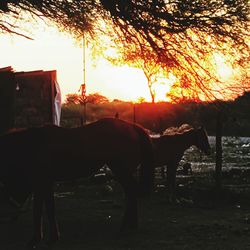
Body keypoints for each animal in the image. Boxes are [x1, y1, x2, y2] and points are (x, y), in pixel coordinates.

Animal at [0, 118, 154, 247]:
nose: (11, 216)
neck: (32, 145)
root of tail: (131, 127)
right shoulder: (46, 184)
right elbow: (49, 208)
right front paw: (53, 237)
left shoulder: (41, 183)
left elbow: (38, 211)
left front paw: (36, 239)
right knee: (131, 194)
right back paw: (131, 225)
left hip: (121, 171)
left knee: (131, 192)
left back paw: (124, 226)